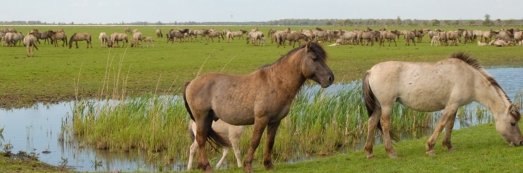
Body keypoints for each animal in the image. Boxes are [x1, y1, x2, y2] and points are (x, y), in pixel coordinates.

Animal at [182, 42, 334, 173]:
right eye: (314, 58)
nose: (330, 78)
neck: (276, 82)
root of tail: (191, 83)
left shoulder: (274, 121)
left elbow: (270, 142)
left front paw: (268, 165)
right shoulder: (261, 119)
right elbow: (255, 141)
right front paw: (248, 165)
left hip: (208, 119)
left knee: (200, 141)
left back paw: (203, 166)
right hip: (201, 118)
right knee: (200, 140)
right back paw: (207, 167)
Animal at [364, 52, 523, 158]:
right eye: (513, 123)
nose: (520, 142)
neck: (471, 79)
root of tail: (370, 71)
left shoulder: (455, 106)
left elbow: (450, 125)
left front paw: (448, 146)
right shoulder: (451, 106)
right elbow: (441, 124)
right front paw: (430, 148)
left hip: (378, 107)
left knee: (371, 123)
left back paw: (369, 152)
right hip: (386, 105)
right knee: (384, 124)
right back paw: (391, 152)